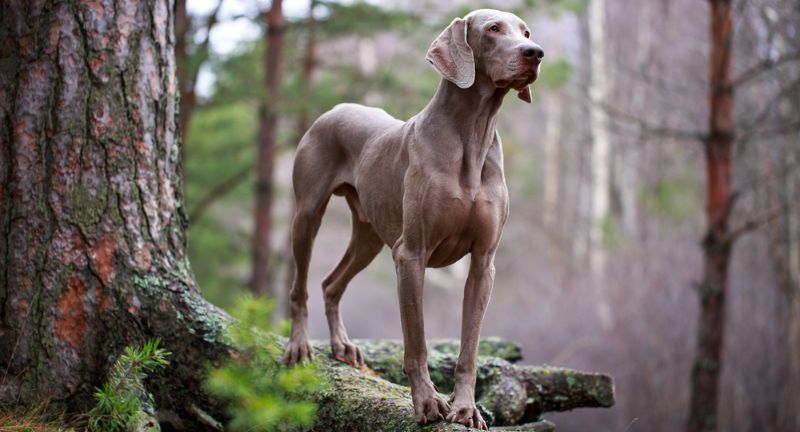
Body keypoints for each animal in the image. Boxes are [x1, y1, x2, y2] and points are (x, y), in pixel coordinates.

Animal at [282, 9, 544, 428]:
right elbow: (416, 343)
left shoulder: (483, 263)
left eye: (526, 31)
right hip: (307, 215)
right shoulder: (411, 254)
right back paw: (300, 346)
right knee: (301, 286)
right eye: (493, 29)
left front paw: (465, 408)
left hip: (369, 236)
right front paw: (427, 403)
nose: (534, 53)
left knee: (330, 283)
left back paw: (342, 345)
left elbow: (469, 348)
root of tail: (335, 108)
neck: (472, 135)